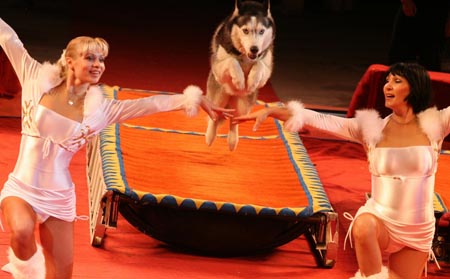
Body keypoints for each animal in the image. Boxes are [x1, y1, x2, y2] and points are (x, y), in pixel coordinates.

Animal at [205, 0, 274, 152]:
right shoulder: (218, 68)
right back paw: (210, 136)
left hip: (245, 104)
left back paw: (232, 140)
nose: (254, 49)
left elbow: (259, 64)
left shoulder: (266, 69)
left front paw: (252, 79)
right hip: (219, 94)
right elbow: (232, 60)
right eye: (245, 30)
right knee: (215, 114)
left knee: (234, 120)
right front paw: (239, 80)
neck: (245, 56)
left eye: (261, 31)